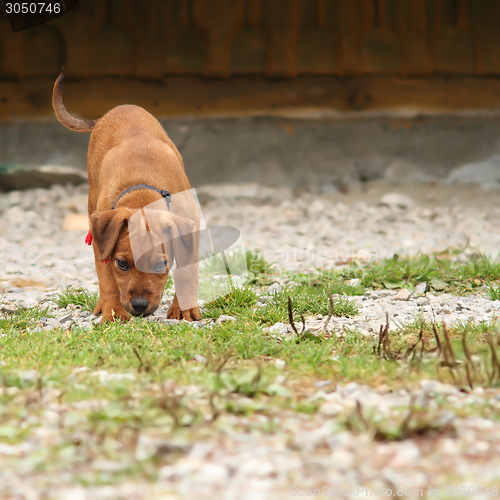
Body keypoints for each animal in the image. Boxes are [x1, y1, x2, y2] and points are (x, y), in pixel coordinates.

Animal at [52, 72, 201, 324]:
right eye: (122, 264)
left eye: (161, 264)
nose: (139, 306)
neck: (142, 195)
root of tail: (117, 109)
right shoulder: (103, 245)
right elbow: (107, 279)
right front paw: (113, 311)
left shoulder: (190, 231)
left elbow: (187, 271)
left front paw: (185, 309)